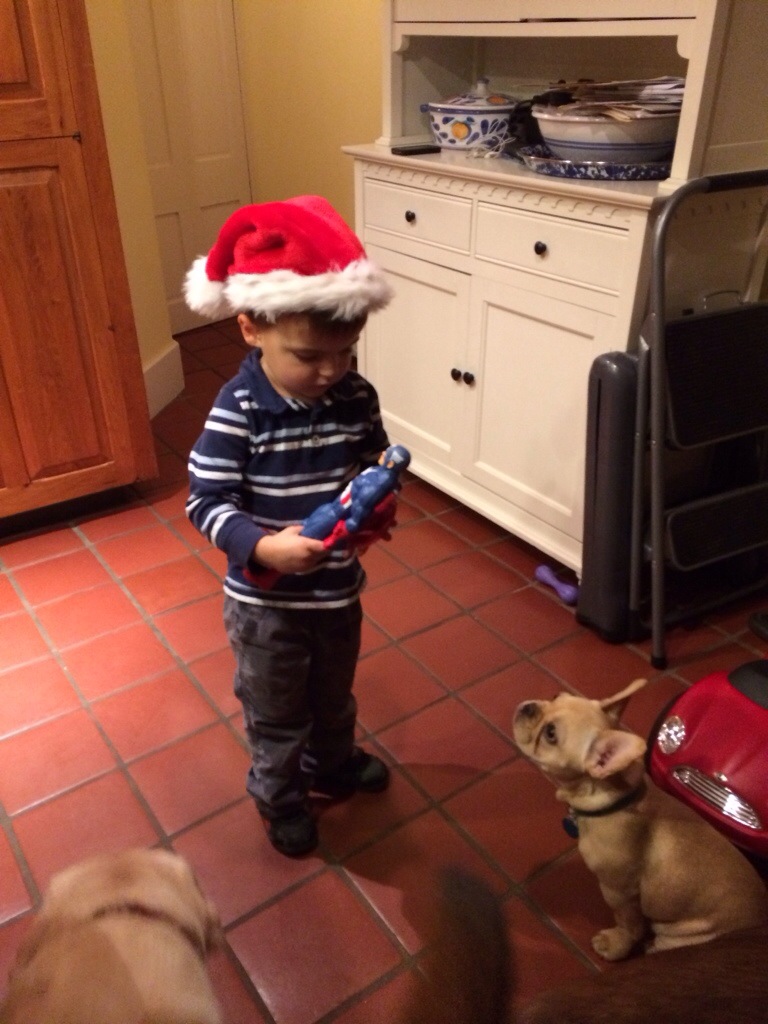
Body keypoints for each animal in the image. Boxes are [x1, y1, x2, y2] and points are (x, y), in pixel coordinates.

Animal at [512, 679, 768, 961]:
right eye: (556, 696)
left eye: (550, 734)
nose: (529, 708)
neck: (615, 796)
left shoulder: (619, 892)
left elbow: (628, 924)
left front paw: (615, 945)